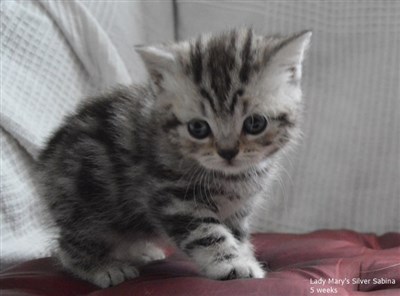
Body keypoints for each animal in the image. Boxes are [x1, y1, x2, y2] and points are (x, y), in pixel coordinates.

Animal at [37, 28, 310, 288]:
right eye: (198, 128)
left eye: (255, 124)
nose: (227, 152)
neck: (232, 178)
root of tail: (46, 159)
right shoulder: (172, 196)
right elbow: (208, 233)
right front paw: (233, 265)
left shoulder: (239, 208)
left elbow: (237, 235)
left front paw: (244, 256)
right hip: (87, 204)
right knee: (68, 246)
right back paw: (102, 267)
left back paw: (139, 251)